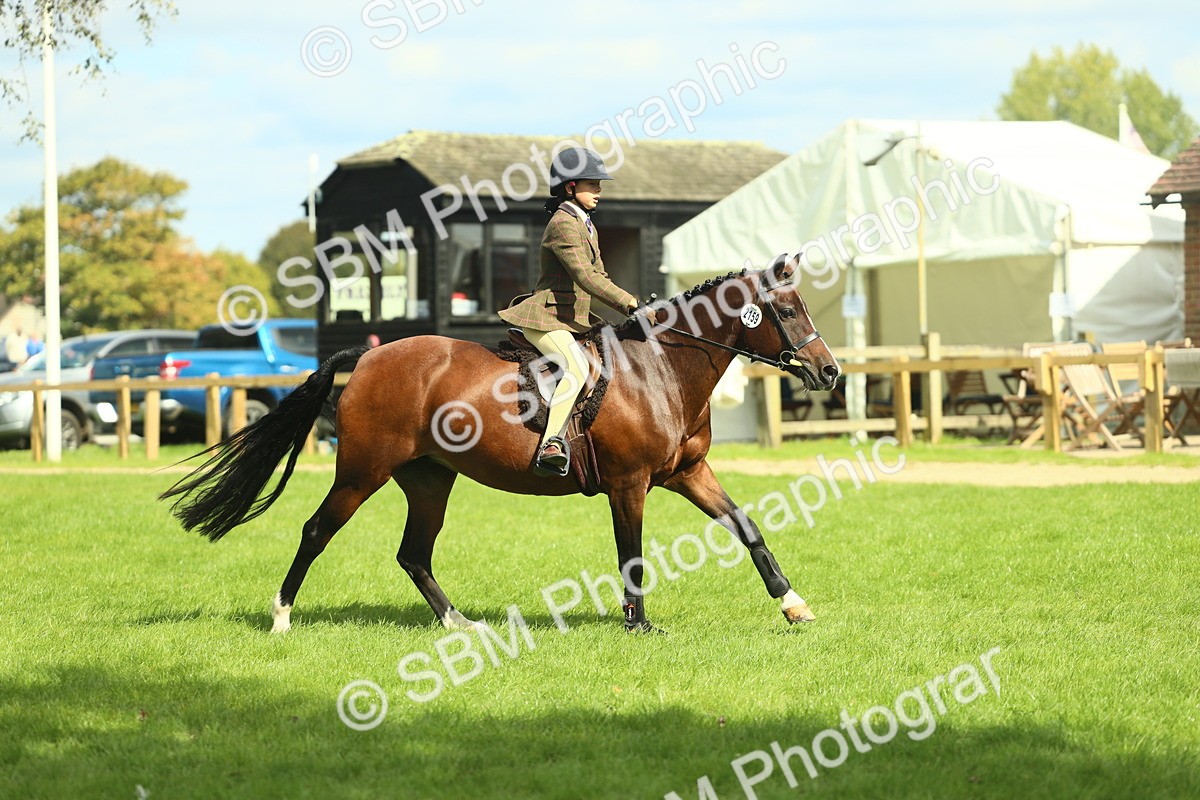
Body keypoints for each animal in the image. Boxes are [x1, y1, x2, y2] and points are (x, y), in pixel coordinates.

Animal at [159, 256, 841, 633]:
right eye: (788, 311)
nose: (830, 373)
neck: (661, 369)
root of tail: (371, 355)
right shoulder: (630, 484)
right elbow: (632, 553)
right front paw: (640, 624)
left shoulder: (689, 472)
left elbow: (747, 527)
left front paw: (795, 606)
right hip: (361, 471)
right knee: (316, 531)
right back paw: (280, 617)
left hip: (429, 478)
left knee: (414, 553)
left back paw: (458, 622)